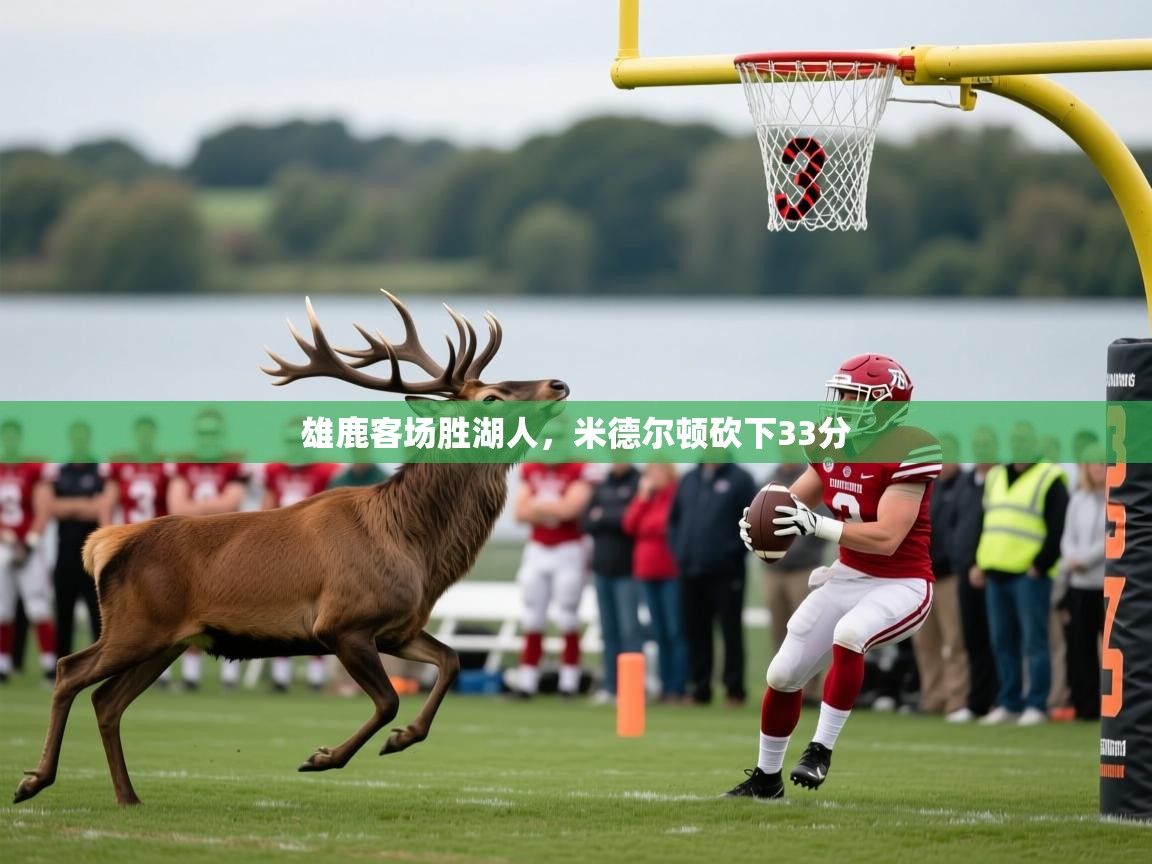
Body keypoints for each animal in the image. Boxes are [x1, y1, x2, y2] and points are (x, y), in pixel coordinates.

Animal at [13, 291, 569, 806]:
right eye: (491, 397)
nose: (558, 383)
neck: (415, 548)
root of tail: (105, 544)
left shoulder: (398, 627)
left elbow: (451, 660)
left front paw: (402, 738)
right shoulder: (342, 623)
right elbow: (388, 700)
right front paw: (324, 757)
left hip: (167, 639)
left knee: (107, 701)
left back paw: (127, 796)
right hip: (135, 624)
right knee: (69, 672)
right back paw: (34, 781)